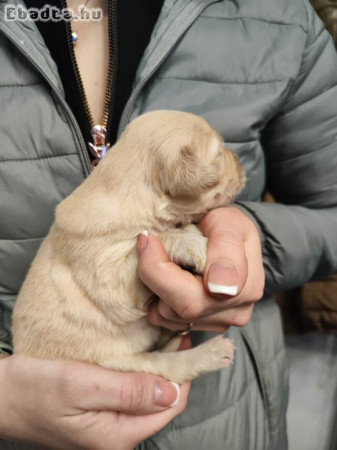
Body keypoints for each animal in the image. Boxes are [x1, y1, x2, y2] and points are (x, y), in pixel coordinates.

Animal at [12, 110, 244, 382]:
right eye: (218, 156)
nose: (241, 162)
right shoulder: (108, 276)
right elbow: (152, 240)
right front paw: (191, 243)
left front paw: (189, 232)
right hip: (120, 363)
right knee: (169, 366)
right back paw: (213, 353)